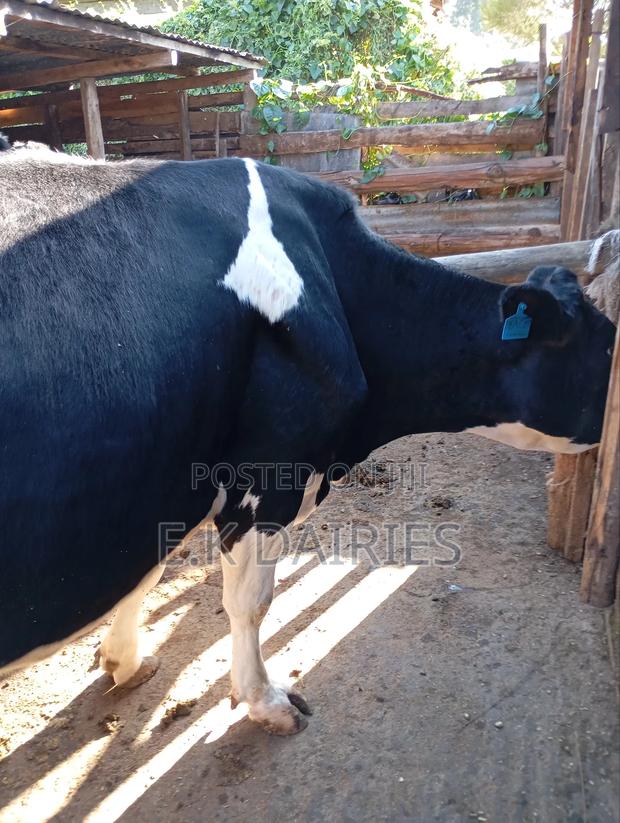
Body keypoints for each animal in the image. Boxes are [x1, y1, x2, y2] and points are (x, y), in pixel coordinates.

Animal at [0, 144, 615, 735]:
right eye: (609, 349)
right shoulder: (269, 477)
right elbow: (250, 602)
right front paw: (266, 703)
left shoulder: (165, 477)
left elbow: (147, 568)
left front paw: (125, 661)